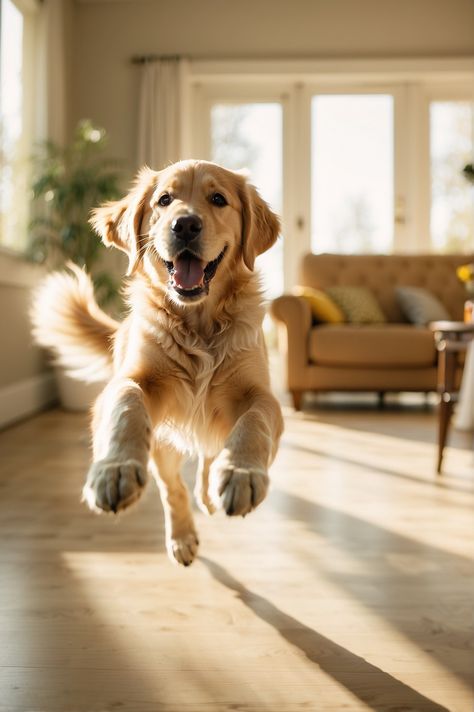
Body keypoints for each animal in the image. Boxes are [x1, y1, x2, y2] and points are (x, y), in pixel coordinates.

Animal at [34, 160, 286, 568]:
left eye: (219, 199)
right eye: (164, 200)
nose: (185, 225)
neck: (198, 324)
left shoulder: (259, 395)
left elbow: (254, 423)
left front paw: (240, 472)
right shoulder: (133, 381)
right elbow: (126, 406)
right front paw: (114, 468)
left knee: (208, 454)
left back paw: (211, 489)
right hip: (163, 447)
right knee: (172, 488)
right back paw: (182, 537)